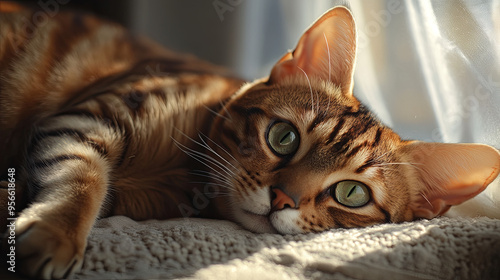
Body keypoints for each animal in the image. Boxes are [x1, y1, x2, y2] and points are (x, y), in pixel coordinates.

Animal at [0, 3, 498, 278]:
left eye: (352, 194)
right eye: (284, 137)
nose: (281, 198)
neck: (184, 178)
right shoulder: (89, 116)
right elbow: (83, 180)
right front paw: (54, 234)